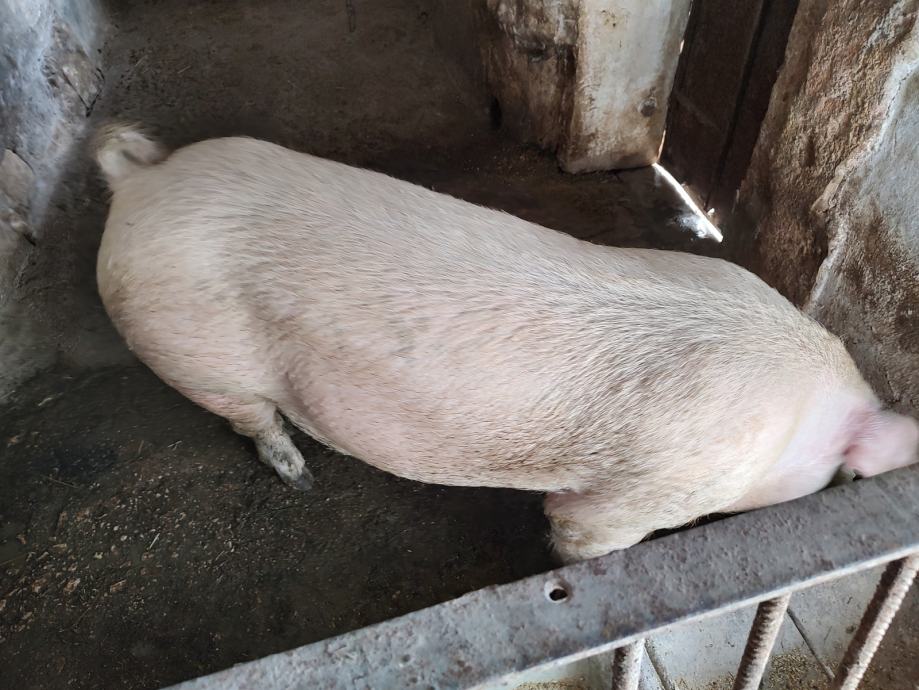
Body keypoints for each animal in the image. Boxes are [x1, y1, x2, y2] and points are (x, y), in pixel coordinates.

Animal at [92, 123, 919, 563]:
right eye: (835, 474)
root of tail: (141, 180)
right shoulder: (645, 493)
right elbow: (579, 531)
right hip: (186, 348)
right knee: (249, 416)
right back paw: (297, 475)